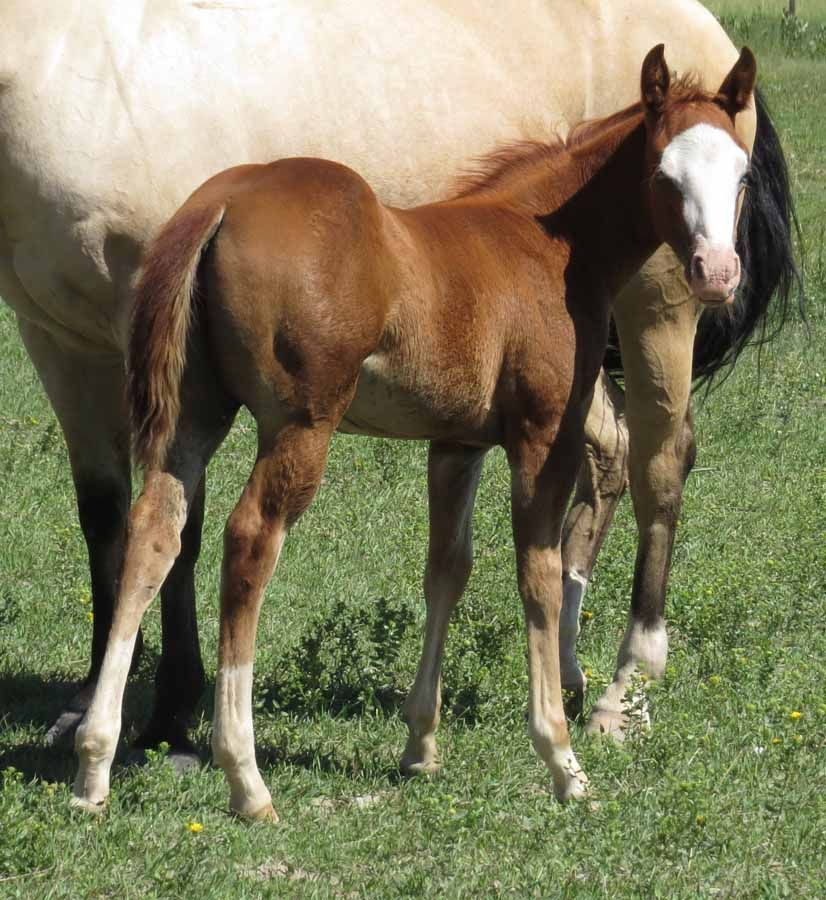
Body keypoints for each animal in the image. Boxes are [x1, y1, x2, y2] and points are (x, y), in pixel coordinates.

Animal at [0, 2, 797, 761]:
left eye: (739, 177)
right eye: (665, 174)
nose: (720, 271)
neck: (533, 232)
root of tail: (219, 206)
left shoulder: (464, 437)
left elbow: (451, 568)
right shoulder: (62, 339)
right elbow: (519, 568)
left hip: (652, 313)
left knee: (656, 463)